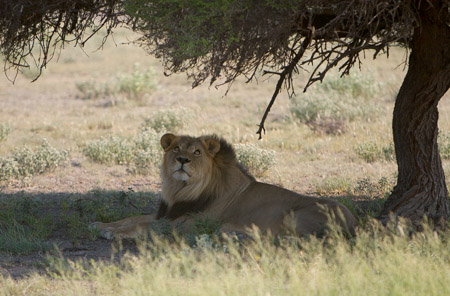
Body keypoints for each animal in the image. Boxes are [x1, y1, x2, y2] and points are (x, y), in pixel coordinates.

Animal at [92, 133, 358, 239]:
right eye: (176, 148)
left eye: (197, 152)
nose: (182, 160)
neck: (179, 189)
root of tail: (354, 221)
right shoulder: (167, 213)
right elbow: (134, 218)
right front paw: (102, 224)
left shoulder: (186, 223)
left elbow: (144, 226)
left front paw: (114, 233)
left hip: (295, 216)